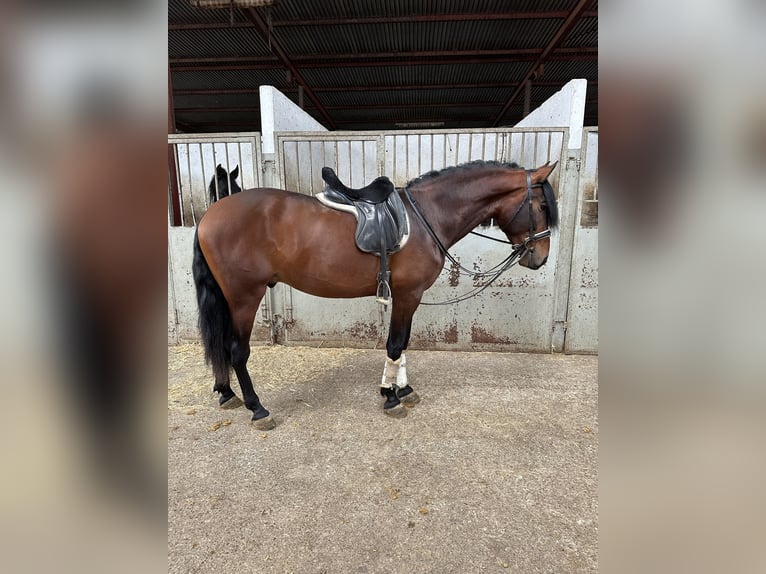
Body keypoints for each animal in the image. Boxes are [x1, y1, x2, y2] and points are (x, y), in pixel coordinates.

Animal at [192, 160, 559, 429]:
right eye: (542, 205)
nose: (540, 258)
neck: (428, 216)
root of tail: (211, 215)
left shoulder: (407, 296)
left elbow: (404, 343)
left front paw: (403, 389)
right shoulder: (409, 294)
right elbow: (395, 344)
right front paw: (390, 396)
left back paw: (227, 393)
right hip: (244, 297)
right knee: (236, 350)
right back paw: (257, 409)